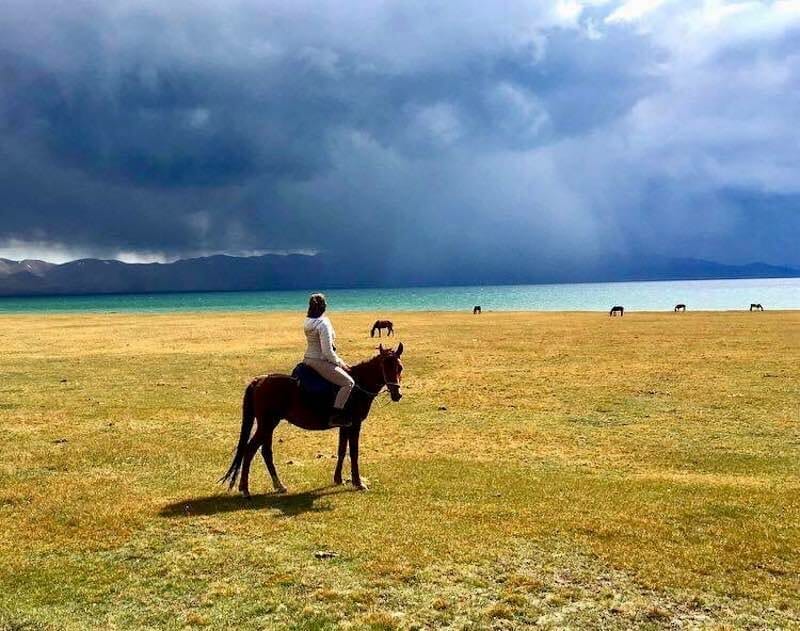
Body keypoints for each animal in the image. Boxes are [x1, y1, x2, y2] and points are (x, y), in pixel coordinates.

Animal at [220, 343, 404, 497]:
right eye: (384, 366)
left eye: (400, 367)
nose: (397, 394)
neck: (358, 386)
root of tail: (260, 380)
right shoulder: (355, 425)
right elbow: (354, 452)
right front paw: (358, 483)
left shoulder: (345, 426)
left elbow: (342, 450)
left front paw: (338, 479)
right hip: (267, 424)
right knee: (250, 450)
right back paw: (245, 489)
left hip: (269, 425)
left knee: (265, 452)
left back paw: (278, 485)